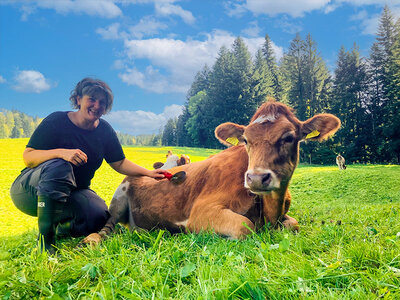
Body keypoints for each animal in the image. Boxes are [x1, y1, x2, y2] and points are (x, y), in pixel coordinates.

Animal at [83, 98, 340, 244]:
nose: (257, 178)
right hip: (118, 198)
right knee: (107, 228)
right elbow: (245, 226)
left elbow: (293, 224)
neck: (269, 211)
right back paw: (92, 240)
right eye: (246, 140)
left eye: (288, 137)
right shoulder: (201, 212)